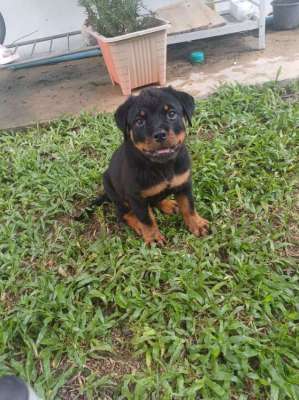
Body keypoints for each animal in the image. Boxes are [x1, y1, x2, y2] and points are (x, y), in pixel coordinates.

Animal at [91, 86, 209, 245]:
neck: (162, 165)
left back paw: (168, 204)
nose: (159, 135)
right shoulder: (136, 197)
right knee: (124, 214)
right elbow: (146, 219)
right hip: (116, 194)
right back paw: (138, 225)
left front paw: (197, 224)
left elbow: (188, 206)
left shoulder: (184, 183)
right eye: (139, 121)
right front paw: (153, 238)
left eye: (171, 114)